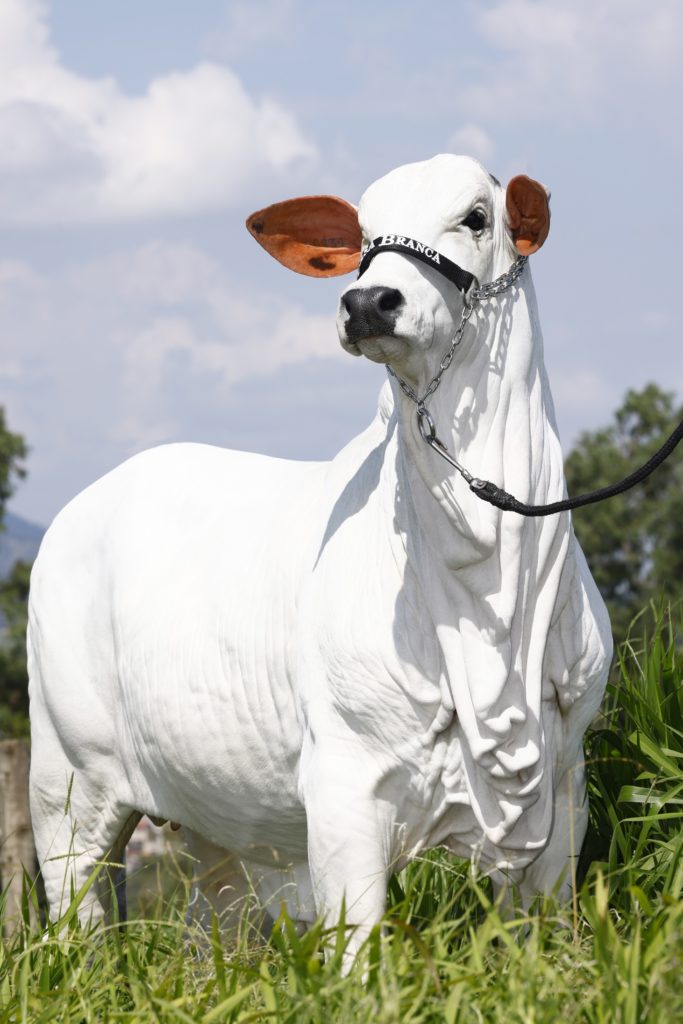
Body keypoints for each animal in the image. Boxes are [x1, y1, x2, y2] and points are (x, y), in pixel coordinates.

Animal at [28, 154, 612, 959]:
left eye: (475, 217)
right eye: (363, 234)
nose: (368, 300)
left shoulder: (562, 788)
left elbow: (540, 935)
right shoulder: (342, 789)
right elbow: (357, 948)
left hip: (210, 815)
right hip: (66, 782)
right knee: (76, 914)